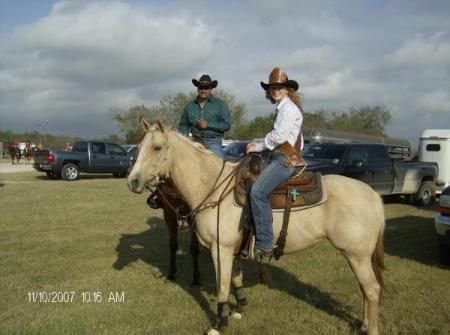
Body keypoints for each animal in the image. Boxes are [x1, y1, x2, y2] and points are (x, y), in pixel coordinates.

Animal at [128, 119, 384, 335]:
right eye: (139, 146)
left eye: (157, 147)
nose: (133, 181)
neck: (213, 187)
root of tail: (373, 195)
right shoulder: (232, 250)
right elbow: (236, 279)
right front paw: (239, 308)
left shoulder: (220, 249)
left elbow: (222, 285)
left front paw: (219, 323)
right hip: (356, 256)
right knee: (364, 289)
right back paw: (363, 324)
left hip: (357, 255)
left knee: (372, 289)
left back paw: (371, 329)